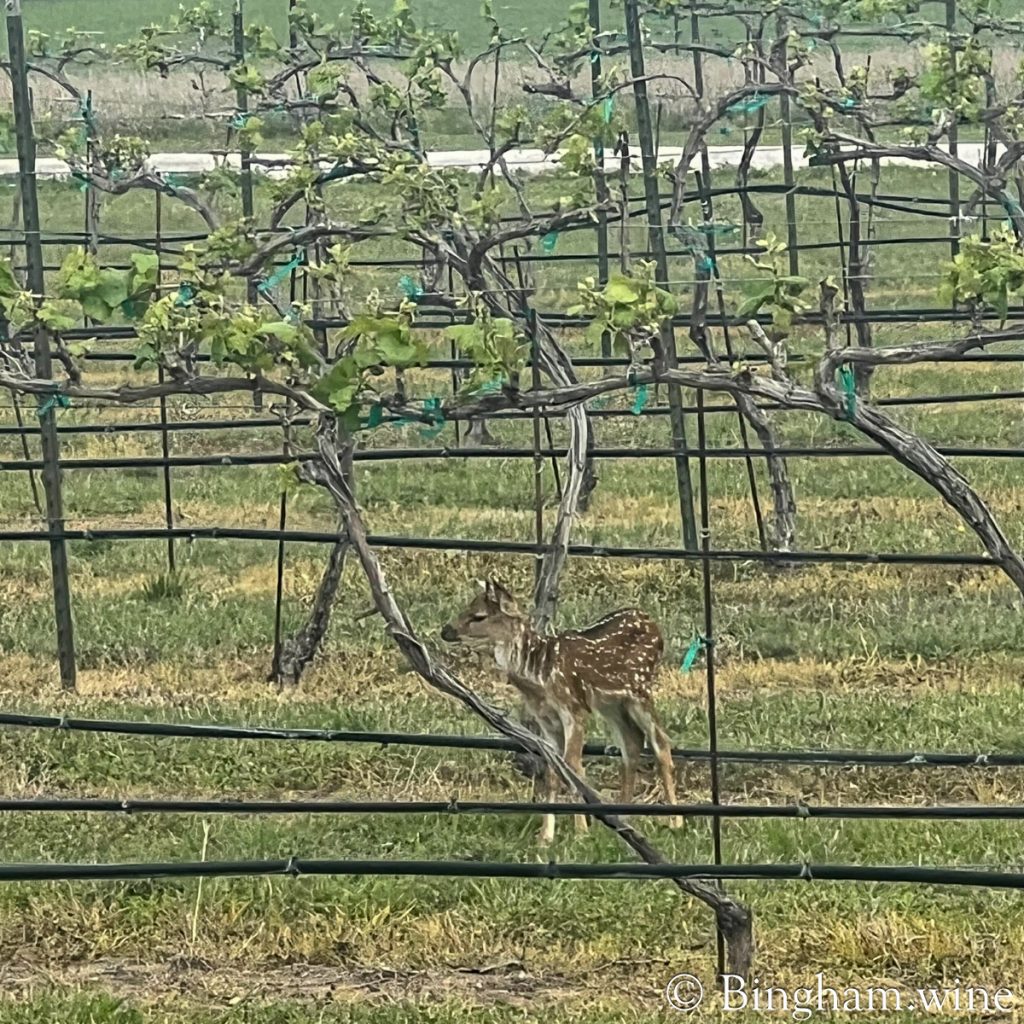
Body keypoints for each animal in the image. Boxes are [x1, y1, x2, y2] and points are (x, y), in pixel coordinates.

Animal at [440, 579, 683, 844]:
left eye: (479, 616)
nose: (445, 630)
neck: (538, 674)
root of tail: (652, 623)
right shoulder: (546, 719)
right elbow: (553, 772)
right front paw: (546, 837)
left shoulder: (573, 709)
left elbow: (572, 766)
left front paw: (581, 832)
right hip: (611, 703)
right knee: (632, 743)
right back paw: (623, 820)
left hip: (640, 690)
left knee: (660, 741)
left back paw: (675, 821)